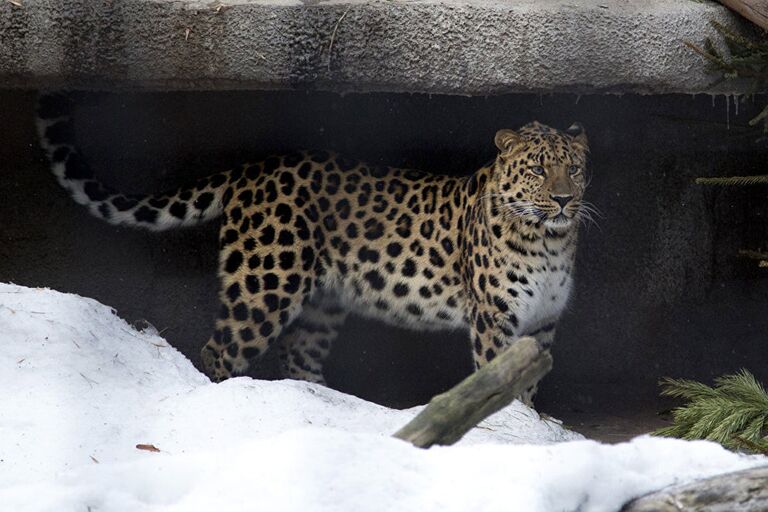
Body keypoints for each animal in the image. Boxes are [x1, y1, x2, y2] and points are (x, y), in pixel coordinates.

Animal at [36, 93, 592, 400]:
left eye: (575, 168)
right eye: (538, 169)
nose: (565, 199)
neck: (549, 241)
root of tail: (253, 169)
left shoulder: (543, 323)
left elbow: (530, 385)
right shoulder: (495, 318)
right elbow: (501, 381)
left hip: (321, 303)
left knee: (297, 355)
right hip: (265, 284)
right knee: (220, 349)